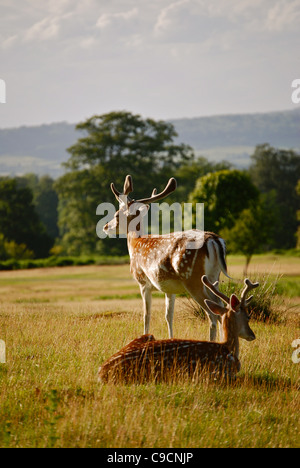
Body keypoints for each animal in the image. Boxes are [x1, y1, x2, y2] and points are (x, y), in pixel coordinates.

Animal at [98, 276, 258, 382]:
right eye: (248, 316)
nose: (252, 335)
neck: (227, 347)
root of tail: (101, 372)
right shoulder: (221, 372)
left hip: (148, 336)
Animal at [104, 175, 231, 340]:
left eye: (116, 214)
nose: (106, 227)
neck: (135, 243)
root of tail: (214, 240)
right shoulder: (169, 288)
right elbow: (168, 316)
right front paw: (171, 339)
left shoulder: (143, 281)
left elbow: (146, 315)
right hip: (214, 277)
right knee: (221, 308)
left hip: (193, 279)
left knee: (212, 315)